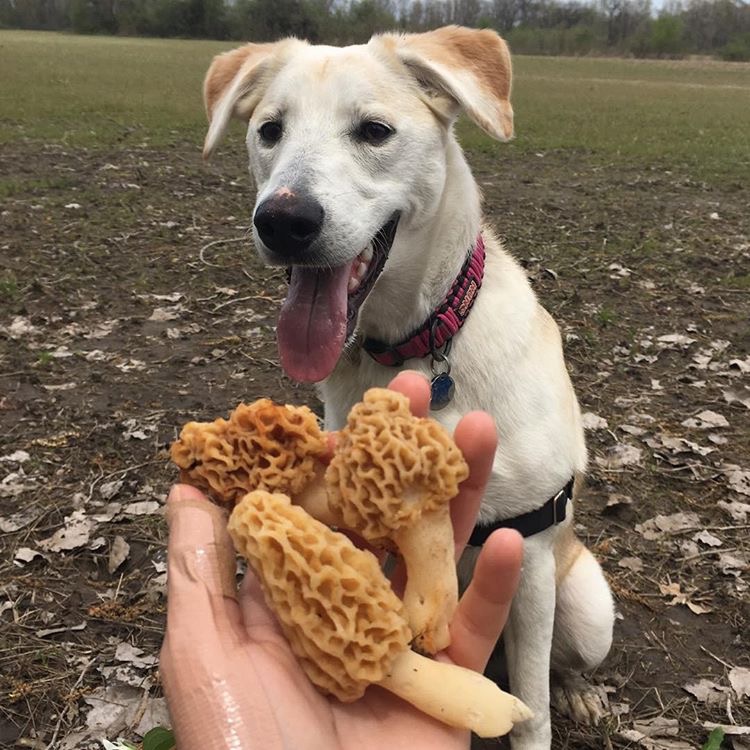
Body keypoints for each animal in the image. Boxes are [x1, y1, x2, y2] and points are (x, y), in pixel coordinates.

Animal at [201, 26, 616, 748]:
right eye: (269, 130)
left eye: (375, 130)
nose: (283, 220)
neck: (418, 346)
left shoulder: (531, 553)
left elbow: (533, 705)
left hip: (589, 606)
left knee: (560, 664)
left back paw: (580, 693)